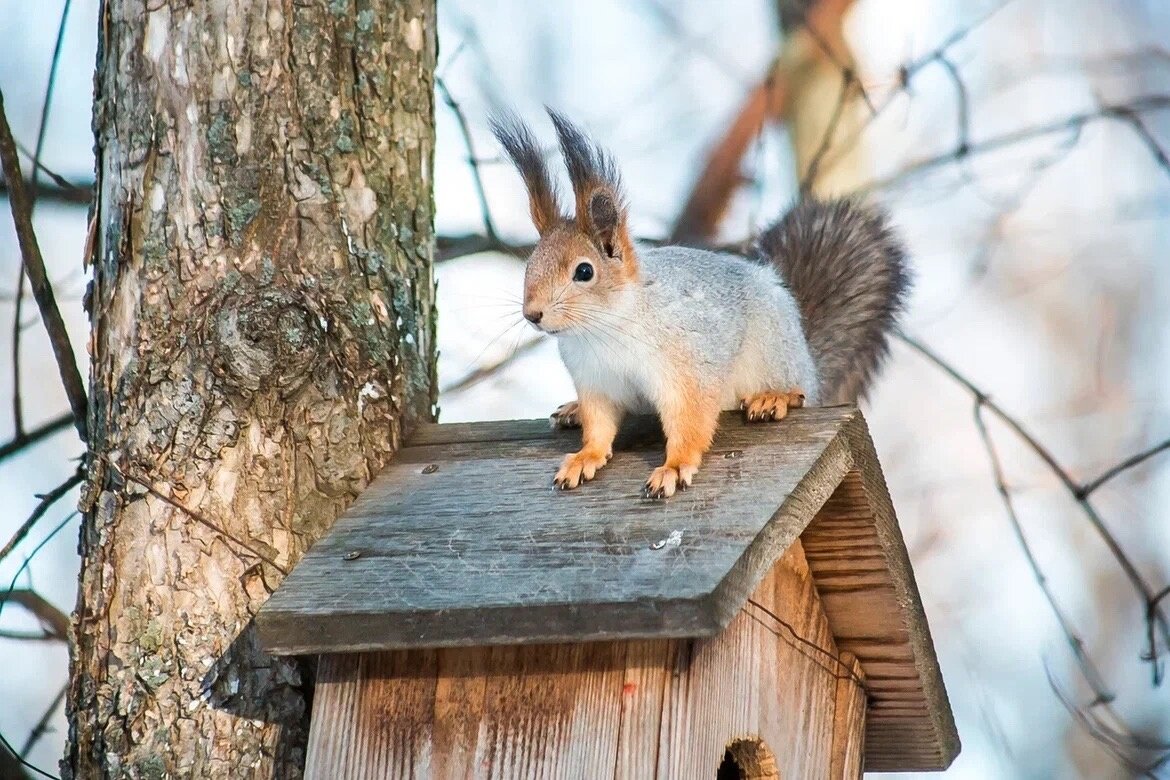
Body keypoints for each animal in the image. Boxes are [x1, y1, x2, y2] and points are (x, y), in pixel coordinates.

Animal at [489, 108, 907, 500]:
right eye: (531, 264)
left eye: (584, 271)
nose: (532, 314)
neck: (605, 328)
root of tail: (807, 358)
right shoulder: (596, 383)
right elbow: (600, 428)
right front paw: (584, 458)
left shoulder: (688, 369)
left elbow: (690, 422)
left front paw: (674, 467)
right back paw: (572, 411)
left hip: (776, 353)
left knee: (798, 390)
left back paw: (774, 397)